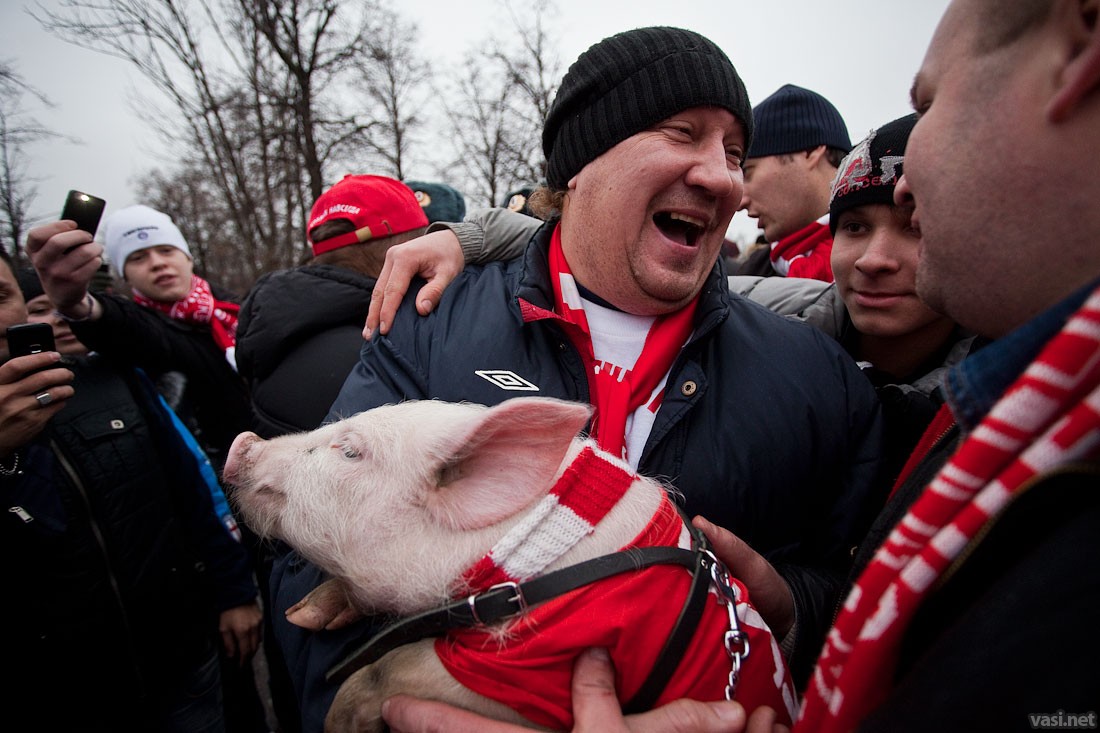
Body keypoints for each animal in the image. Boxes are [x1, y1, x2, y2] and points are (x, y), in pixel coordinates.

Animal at [223, 396, 796, 730]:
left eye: (349, 452)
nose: (241, 443)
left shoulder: (536, 670)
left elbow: (384, 672)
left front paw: (339, 723)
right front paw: (302, 616)